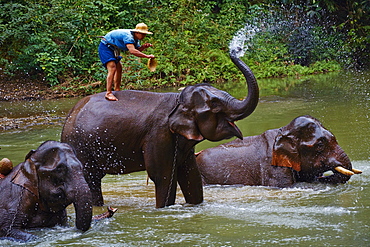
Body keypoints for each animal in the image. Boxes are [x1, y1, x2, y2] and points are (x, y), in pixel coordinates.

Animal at [60, 47, 258, 207]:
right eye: (215, 105)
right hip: (79, 145)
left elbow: (190, 176)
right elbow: (163, 176)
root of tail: (69, 115)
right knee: (91, 180)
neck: (177, 101)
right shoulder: (158, 134)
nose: (236, 49)